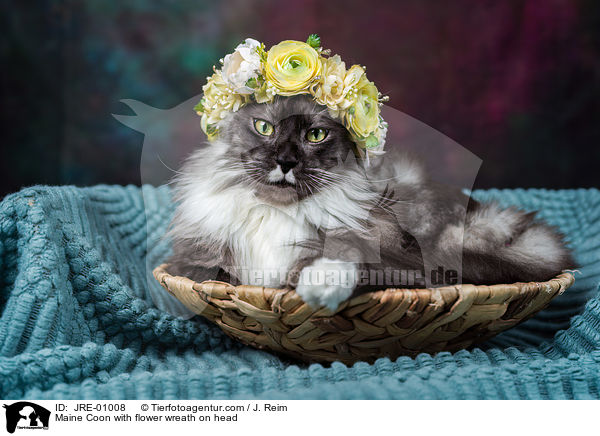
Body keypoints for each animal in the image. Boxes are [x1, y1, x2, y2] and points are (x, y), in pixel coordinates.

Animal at [165, 94, 576, 310]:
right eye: (264, 127)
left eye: (315, 135)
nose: (285, 161)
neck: (277, 211)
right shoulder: (201, 262)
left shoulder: (379, 249)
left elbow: (337, 260)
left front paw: (320, 287)